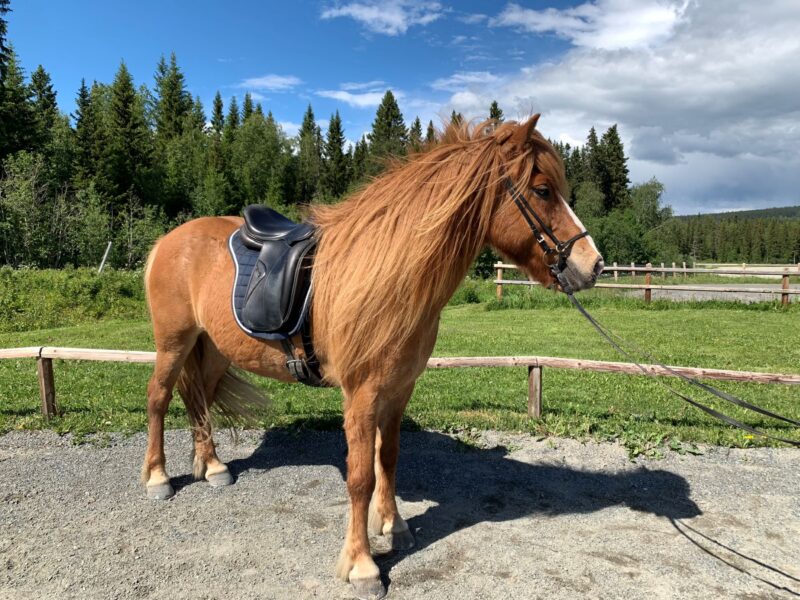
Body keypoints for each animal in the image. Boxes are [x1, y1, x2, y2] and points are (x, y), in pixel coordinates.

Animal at [145, 115, 600, 596]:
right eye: (543, 190)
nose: (593, 265)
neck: (390, 273)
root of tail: (168, 241)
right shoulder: (361, 394)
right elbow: (361, 476)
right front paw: (362, 564)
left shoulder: (399, 390)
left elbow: (389, 458)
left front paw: (394, 525)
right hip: (174, 342)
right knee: (159, 397)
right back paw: (158, 477)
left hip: (213, 348)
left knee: (198, 398)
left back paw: (211, 466)